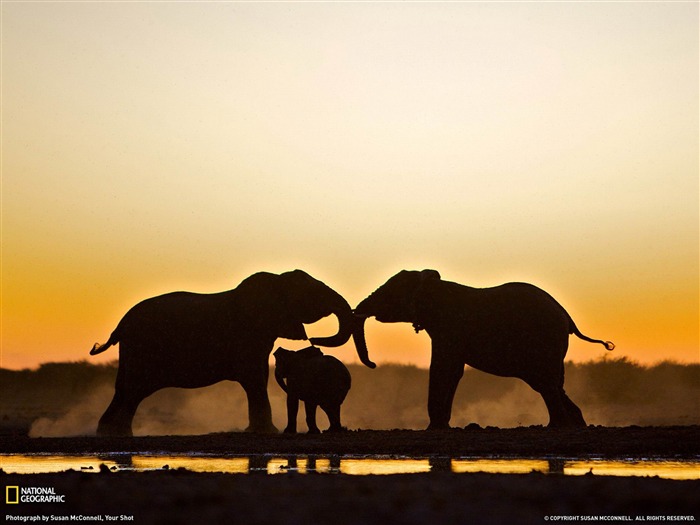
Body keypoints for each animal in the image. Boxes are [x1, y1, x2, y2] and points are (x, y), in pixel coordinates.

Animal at [93, 268, 378, 436]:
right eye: (312, 295)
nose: (313, 339)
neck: (276, 281)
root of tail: (120, 326)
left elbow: (259, 376)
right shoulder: (248, 334)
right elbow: (255, 378)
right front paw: (267, 432)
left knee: (127, 390)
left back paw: (110, 433)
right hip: (142, 348)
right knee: (134, 389)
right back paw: (116, 434)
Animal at [350, 272, 612, 428]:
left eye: (388, 292)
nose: (373, 364)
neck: (432, 284)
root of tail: (566, 316)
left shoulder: (450, 328)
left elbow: (442, 368)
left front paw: (434, 428)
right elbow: (454, 372)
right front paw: (442, 426)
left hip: (544, 340)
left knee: (546, 383)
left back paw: (556, 427)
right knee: (552, 383)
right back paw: (575, 424)